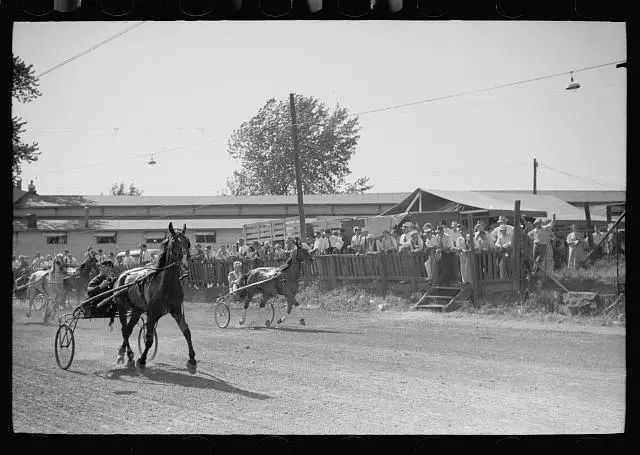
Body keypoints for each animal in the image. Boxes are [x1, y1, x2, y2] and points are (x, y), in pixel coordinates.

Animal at [112, 223, 196, 372]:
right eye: (174, 243)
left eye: (188, 242)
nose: (185, 264)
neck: (167, 285)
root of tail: (122, 274)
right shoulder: (152, 313)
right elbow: (149, 339)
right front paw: (142, 359)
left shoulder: (176, 311)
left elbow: (186, 331)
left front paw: (192, 359)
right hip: (121, 306)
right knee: (124, 330)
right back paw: (125, 354)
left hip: (137, 309)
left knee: (128, 329)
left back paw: (127, 354)